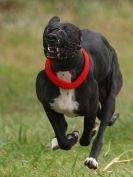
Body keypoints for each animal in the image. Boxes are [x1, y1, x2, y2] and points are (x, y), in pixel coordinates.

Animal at [35, 16, 122, 169]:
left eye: (68, 30)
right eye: (49, 29)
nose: (51, 36)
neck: (65, 71)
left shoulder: (91, 111)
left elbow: (85, 138)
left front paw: (81, 136)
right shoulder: (49, 106)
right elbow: (62, 136)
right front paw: (70, 138)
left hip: (109, 97)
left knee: (100, 132)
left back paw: (92, 159)